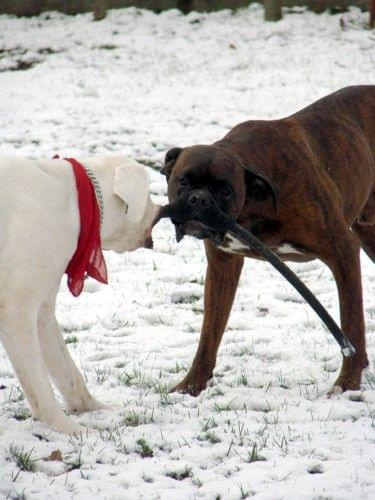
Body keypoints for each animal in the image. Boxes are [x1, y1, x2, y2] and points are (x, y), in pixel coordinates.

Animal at [0, 153, 160, 434]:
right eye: (149, 193)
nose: (161, 211)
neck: (73, 201)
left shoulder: (40, 313)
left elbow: (63, 372)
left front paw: (90, 409)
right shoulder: (17, 311)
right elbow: (40, 381)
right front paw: (69, 429)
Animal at [162, 87, 375, 398]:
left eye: (225, 190)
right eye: (184, 182)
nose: (200, 200)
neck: (255, 199)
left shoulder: (343, 251)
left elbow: (352, 322)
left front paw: (347, 385)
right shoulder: (223, 265)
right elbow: (209, 333)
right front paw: (192, 385)